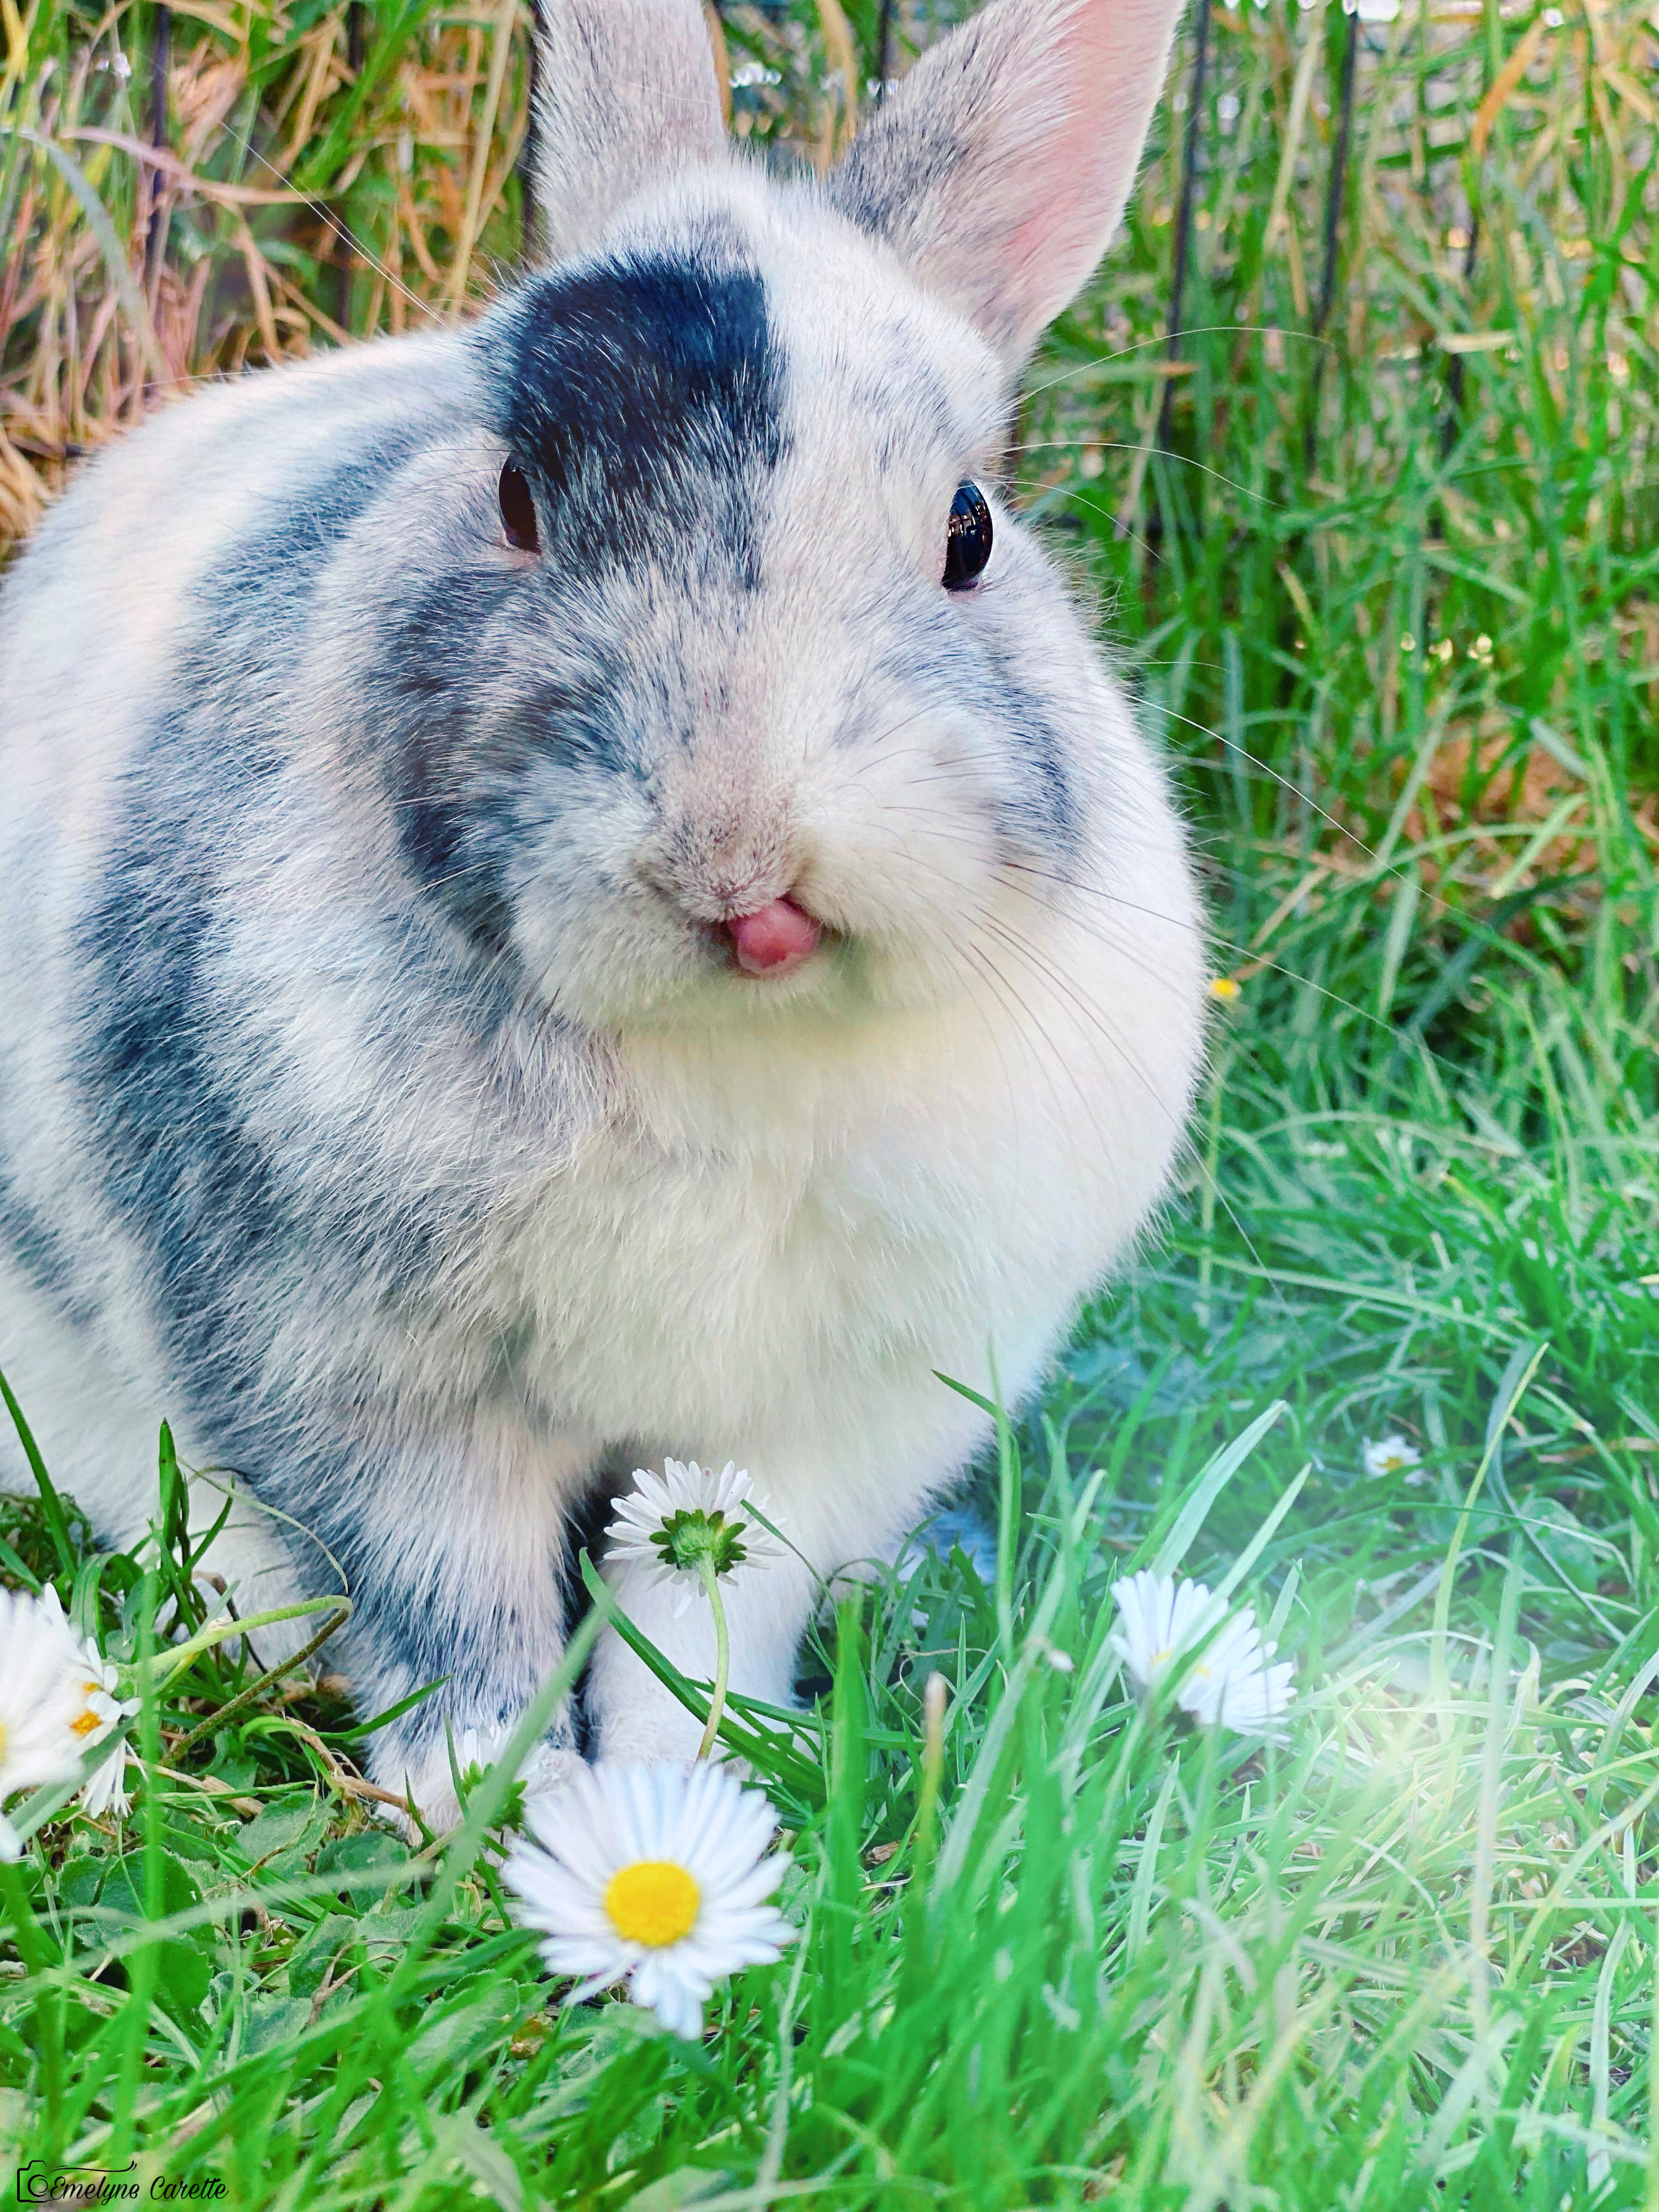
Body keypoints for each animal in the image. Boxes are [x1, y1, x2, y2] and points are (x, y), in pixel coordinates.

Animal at [0, 0, 1212, 1832]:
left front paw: (690, 1789)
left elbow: (704, 1613)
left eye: (969, 530)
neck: (736, 1045)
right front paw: (488, 1807)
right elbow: (450, 1610)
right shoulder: (357, 1389)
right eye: (512, 498)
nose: (738, 856)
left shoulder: (816, 1429)